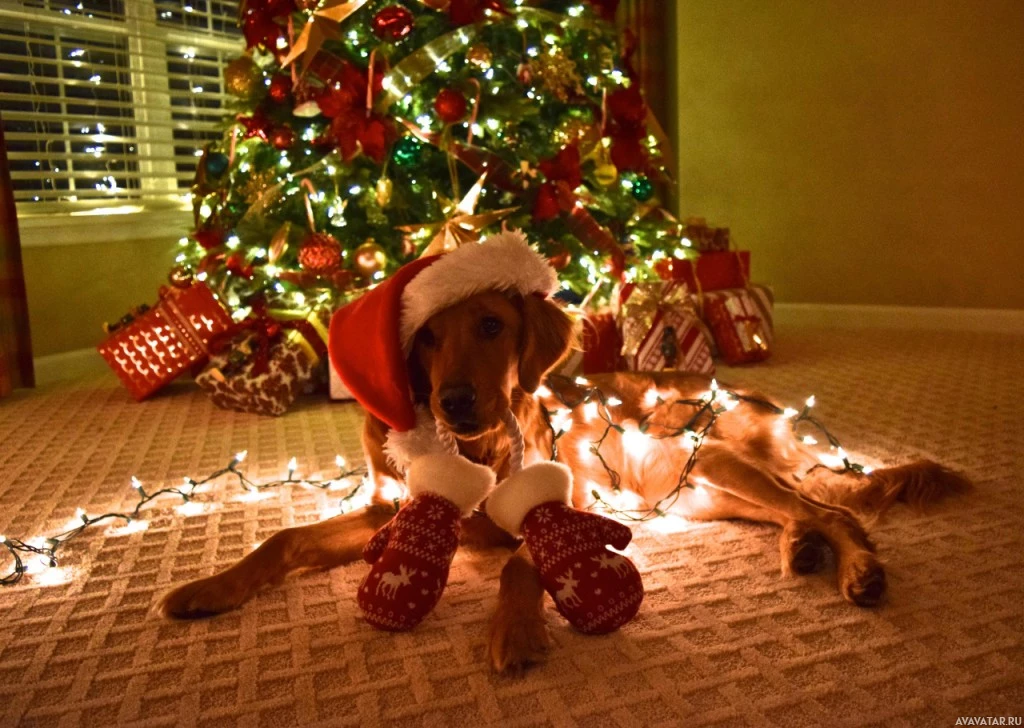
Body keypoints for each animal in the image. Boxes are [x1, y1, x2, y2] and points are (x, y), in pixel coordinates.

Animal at [157, 286, 966, 675]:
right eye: (425, 337)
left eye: (490, 325)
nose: (453, 400)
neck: (471, 446)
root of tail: (769, 405)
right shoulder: (387, 511)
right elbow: (283, 540)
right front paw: (209, 589)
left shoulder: (558, 501)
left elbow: (522, 563)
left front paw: (516, 632)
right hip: (697, 496)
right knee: (801, 513)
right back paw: (802, 549)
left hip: (711, 455)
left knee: (834, 511)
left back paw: (857, 568)